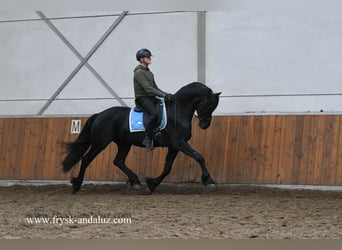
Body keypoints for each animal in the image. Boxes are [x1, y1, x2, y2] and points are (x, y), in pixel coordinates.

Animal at [62, 82, 220, 193]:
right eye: (207, 103)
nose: (205, 124)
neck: (177, 111)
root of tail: (99, 115)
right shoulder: (179, 143)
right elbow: (199, 157)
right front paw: (208, 180)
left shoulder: (174, 146)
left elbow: (167, 168)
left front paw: (152, 184)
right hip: (100, 143)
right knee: (86, 159)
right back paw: (76, 185)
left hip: (124, 143)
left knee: (118, 161)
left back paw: (135, 181)